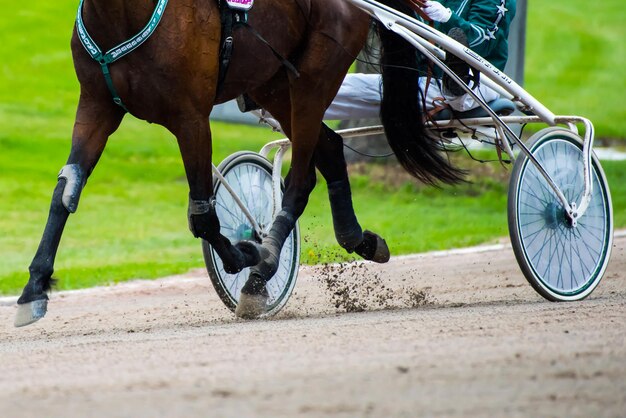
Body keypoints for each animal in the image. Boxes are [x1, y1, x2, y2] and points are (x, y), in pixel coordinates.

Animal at [13, 0, 458, 324]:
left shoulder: (191, 118)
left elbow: (202, 217)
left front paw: (245, 257)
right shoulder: (96, 104)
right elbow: (65, 192)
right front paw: (34, 288)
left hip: (314, 77)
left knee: (301, 180)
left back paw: (264, 269)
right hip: (271, 82)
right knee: (330, 148)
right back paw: (358, 238)